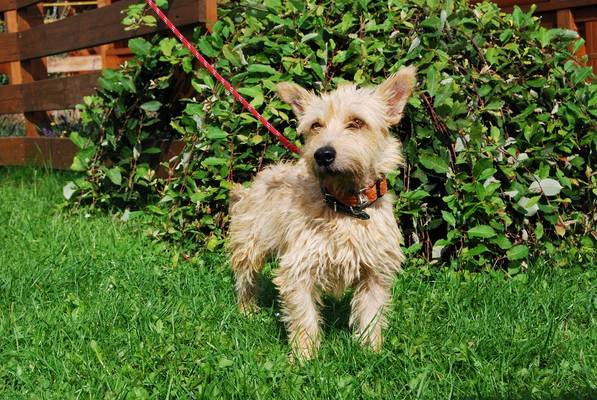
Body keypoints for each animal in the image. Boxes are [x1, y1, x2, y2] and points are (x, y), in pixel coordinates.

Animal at [228, 66, 416, 360]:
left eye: (357, 122)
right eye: (316, 125)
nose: (323, 154)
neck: (347, 206)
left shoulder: (375, 272)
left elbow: (371, 314)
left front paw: (370, 352)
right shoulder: (299, 267)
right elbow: (304, 316)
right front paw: (303, 357)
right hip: (250, 244)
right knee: (245, 278)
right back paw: (247, 310)